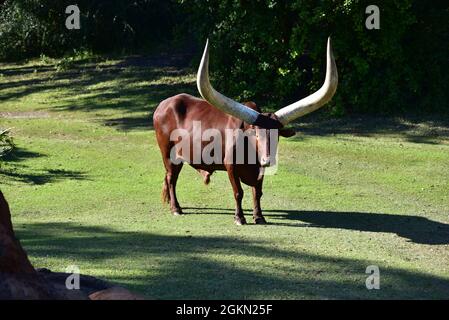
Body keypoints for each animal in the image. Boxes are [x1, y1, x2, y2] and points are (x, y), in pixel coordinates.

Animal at [153, 38, 336, 225]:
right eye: (255, 133)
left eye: (277, 135)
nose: (267, 160)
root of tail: (163, 105)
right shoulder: (231, 167)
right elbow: (238, 192)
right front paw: (239, 217)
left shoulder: (259, 171)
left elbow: (257, 193)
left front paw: (259, 216)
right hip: (168, 154)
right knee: (171, 179)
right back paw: (176, 208)